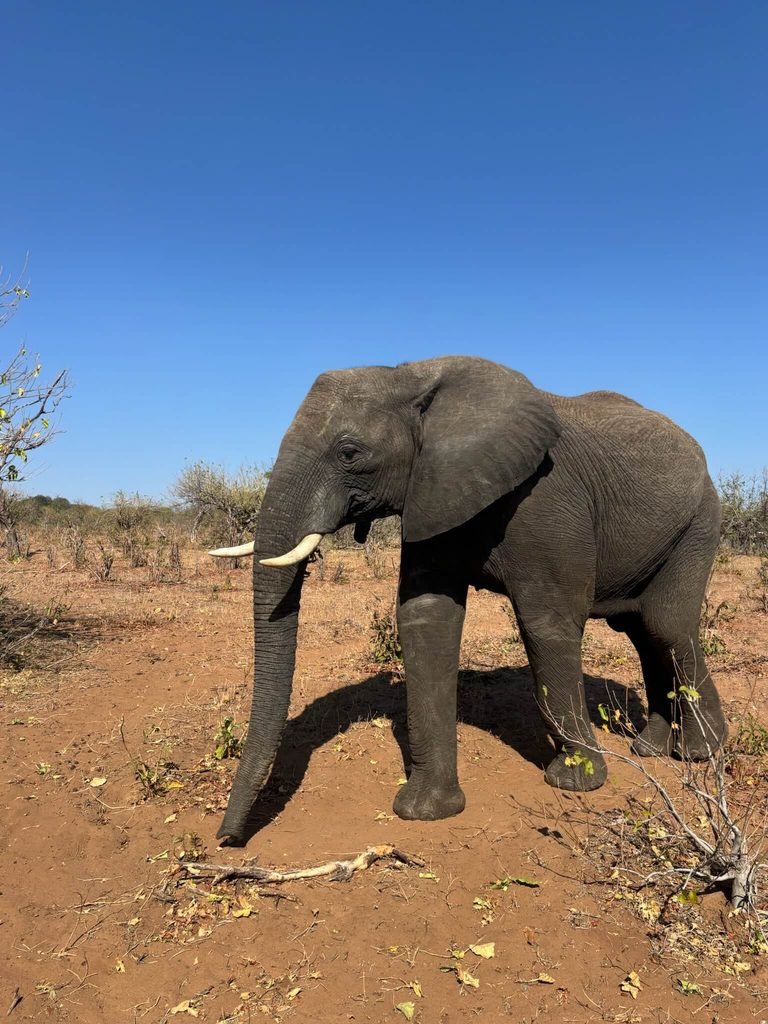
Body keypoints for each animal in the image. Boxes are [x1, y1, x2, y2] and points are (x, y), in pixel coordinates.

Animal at [210, 356, 727, 845]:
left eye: (349, 453)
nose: (227, 838)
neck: (412, 378)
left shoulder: (545, 499)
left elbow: (547, 623)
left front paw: (576, 782)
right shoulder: (433, 489)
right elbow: (425, 618)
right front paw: (425, 811)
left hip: (701, 520)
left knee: (665, 625)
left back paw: (700, 753)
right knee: (643, 631)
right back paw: (651, 749)